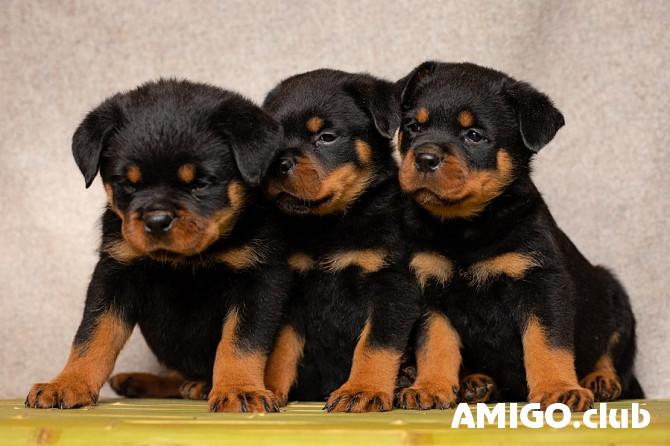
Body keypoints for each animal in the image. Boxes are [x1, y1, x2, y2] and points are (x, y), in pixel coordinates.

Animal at [25, 78, 292, 412]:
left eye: (200, 183)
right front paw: (67, 383)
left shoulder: (259, 278)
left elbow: (241, 341)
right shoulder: (115, 273)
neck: (187, 259)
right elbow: (93, 334)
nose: (156, 219)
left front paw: (239, 390)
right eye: (127, 183)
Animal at [258, 68, 420, 412]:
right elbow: (281, 347)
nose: (279, 163)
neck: (328, 225)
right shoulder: (293, 290)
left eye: (327, 137)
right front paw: (267, 388)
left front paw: (362, 391)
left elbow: (375, 344)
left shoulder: (394, 284)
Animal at [396, 61, 644, 412]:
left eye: (474, 135)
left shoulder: (541, 282)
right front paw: (428, 387)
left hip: (615, 296)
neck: (465, 229)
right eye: (413, 127)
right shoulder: (430, 286)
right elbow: (434, 343)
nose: (424, 158)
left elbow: (547, 343)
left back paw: (600, 380)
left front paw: (558, 389)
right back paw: (475, 383)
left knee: (614, 354)